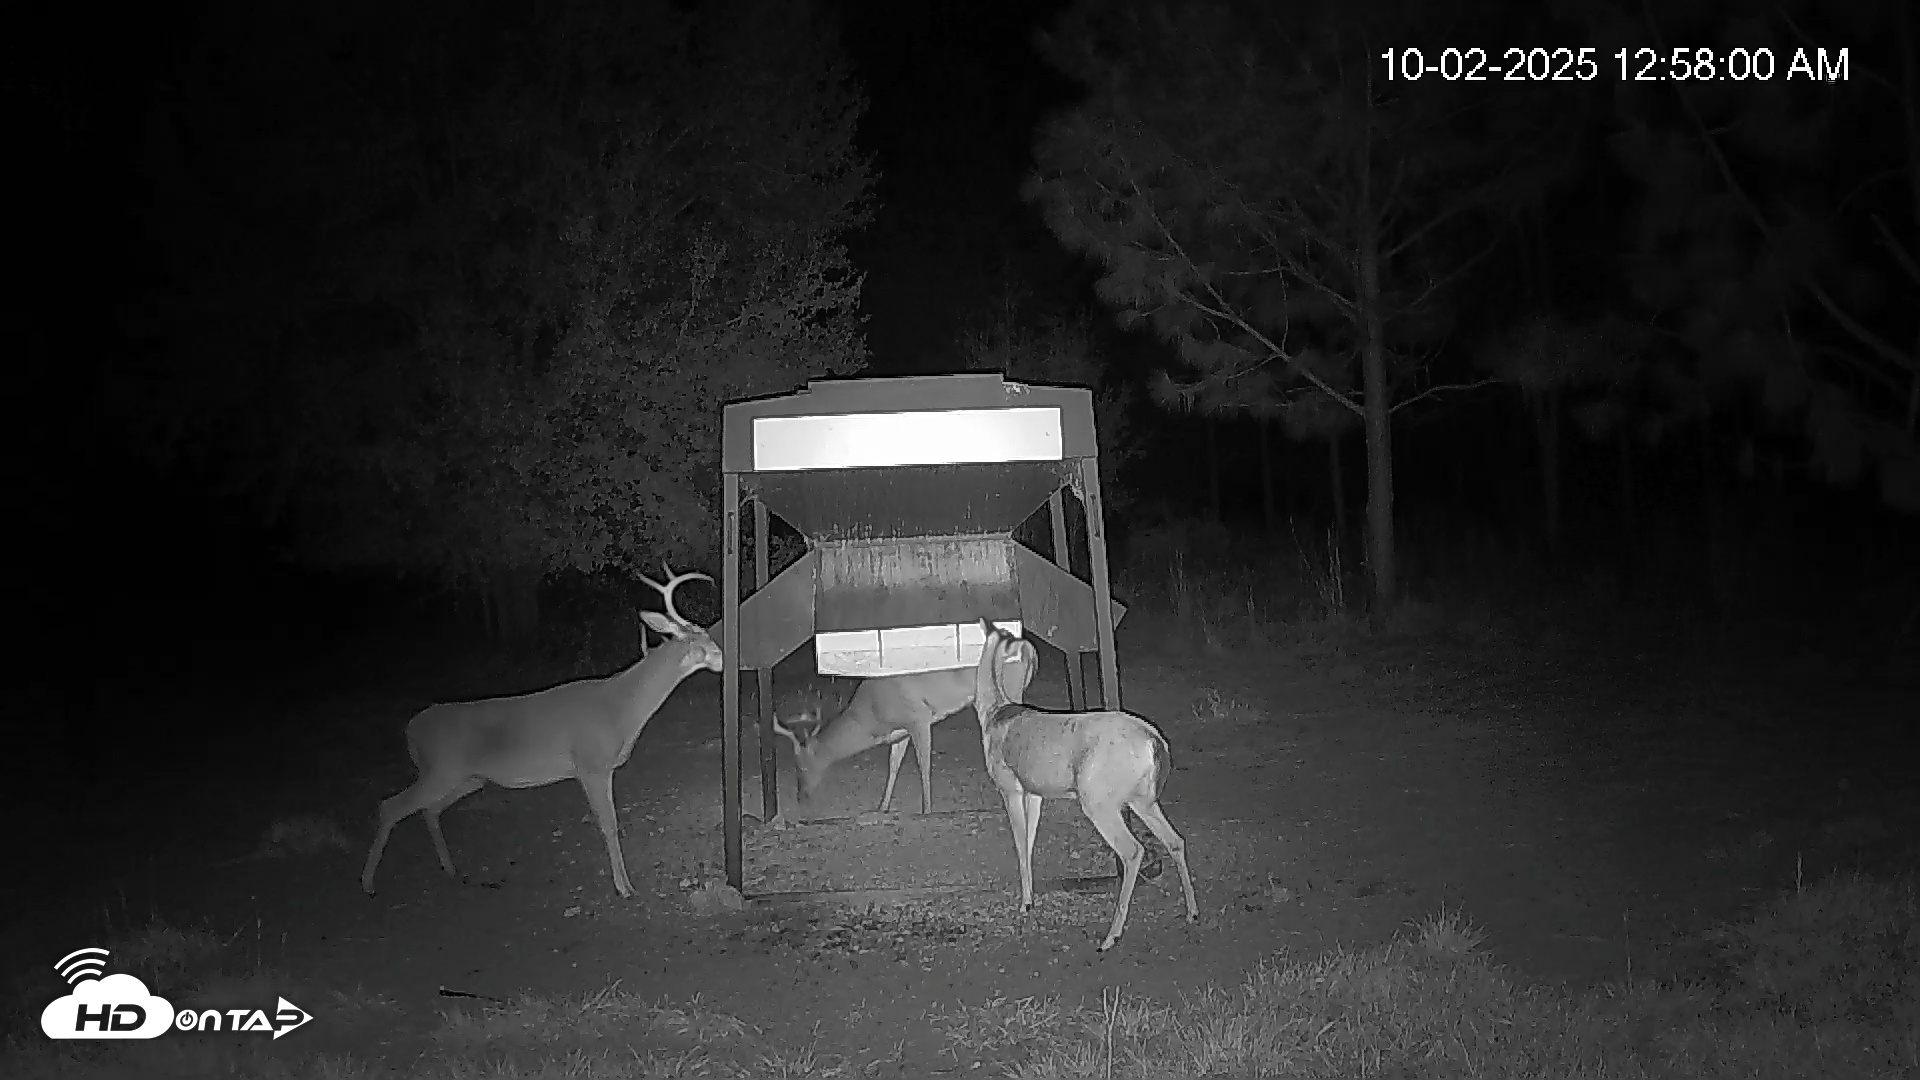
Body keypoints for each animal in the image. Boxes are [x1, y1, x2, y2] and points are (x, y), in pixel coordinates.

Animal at [360, 564, 721, 899]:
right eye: (698, 640)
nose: (721, 657)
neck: (620, 708)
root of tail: (411, 729)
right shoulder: (591, 764)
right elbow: (609, 825)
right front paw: (624, 887)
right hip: (442, 768)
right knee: (390, 806)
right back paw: (368, 884)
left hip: (470, 778)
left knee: (428, 809)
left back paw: (451, 870)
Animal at [771, 668, 976, 817]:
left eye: (801, 766)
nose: (800, 796)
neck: (871, 718)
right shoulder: (901, 733)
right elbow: (893, 766)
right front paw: (882, 807)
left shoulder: (918, 717)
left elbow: (923, 766)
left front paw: (927, 810)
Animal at [971, 619, 1198, 951]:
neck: (993, 713)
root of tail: (1156, 742)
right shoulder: (1036, 792)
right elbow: (1029, 840)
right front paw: (1031, 898)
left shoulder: (1009, 785)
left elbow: (1019, 842)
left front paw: (1025, 903)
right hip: (1141, 798)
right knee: (1175, 840)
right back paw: (1192, 912)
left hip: (1098, 798)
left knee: (1133, 850)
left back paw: (1110, 937)